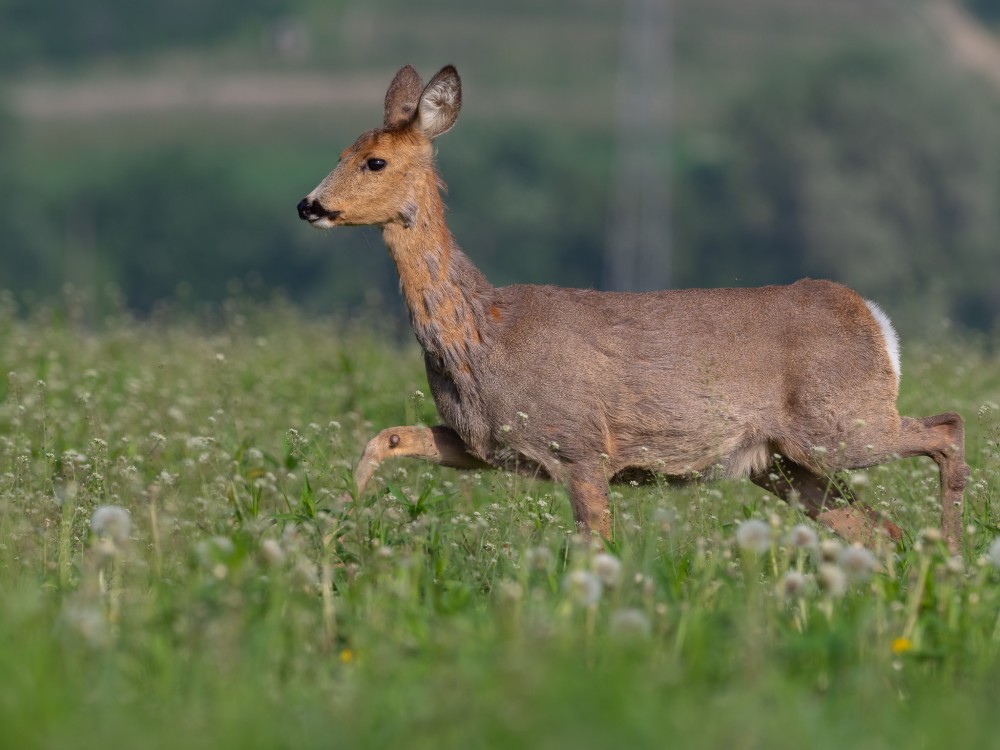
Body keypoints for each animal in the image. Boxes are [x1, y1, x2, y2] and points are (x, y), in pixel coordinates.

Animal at [296, 66, 968, 552]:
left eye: (375, 161)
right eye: (342, 150)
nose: (309, 205)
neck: (481, 336)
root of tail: (878, 323)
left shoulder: (580, 445)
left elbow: (597, 548)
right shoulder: (486, 443)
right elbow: (389, 437)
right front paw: (344, 513)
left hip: (840, 423)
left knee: (947, 428)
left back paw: (955, 556)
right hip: (781, 461)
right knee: (879, 527)